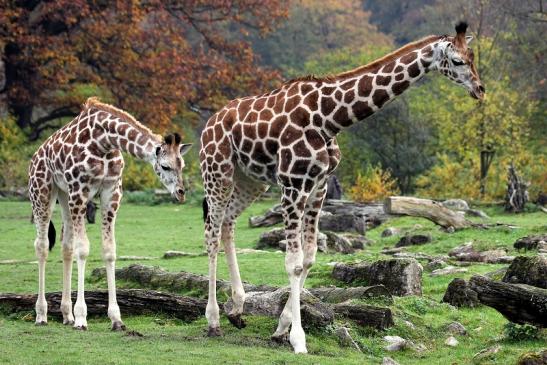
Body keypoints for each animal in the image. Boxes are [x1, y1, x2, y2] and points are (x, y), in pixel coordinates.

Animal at [30, 96, 194, 330]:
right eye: (165, 166)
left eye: (182, 164)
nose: (180, 193)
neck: (104, 142)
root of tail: (36, 156)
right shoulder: (80, 191)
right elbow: (83, 250)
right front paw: (82, 318)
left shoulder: (111, 193)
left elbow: (109, 250)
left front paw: (116, 318)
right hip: (43, 192)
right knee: (42, 246)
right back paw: (42, 315)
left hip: (64, 194)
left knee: (66, 247)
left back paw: (66, 315)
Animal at [200, 21, 484, 352]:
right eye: (458, 61)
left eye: (473, 57)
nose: (480, 89)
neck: (328, 118)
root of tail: (209, 123)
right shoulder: (293, 183)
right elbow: (293, 262)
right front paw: (298, 340)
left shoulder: (319, 185)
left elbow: (309, 257)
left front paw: (281, 328)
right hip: (217, 171)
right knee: (211, 233)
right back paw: (213, 320)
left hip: (250, 180)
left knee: (227, 223)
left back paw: (237, 308)